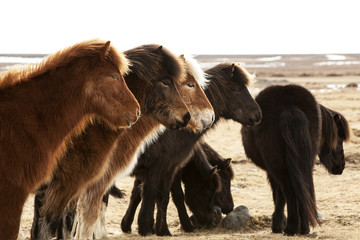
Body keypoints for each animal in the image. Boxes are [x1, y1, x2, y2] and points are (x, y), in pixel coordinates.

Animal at [121, 62, 262, 236]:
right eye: (237, 89)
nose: (258, 115)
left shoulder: (158, 169)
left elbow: (145, 194)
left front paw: (134, 225)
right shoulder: (164, 166)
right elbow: (166, 195)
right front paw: (162, 228)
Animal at [240, 84, 350, 234]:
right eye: (338, 138)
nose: (341, 166)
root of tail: (290, 108)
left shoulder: (271, 171)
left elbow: (279, 196)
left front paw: (278, 225)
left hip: (278, 166)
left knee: (289, 190)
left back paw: (291, 228)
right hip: (303, 162)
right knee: (302, 188)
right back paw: (303, 228)